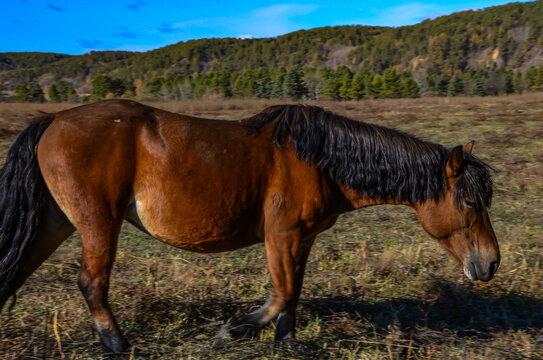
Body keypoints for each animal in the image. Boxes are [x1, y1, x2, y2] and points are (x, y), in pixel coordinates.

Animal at [0, 100, 502, 352]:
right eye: (470, 201)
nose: (492, 264)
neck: (321, 160)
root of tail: (54, 119)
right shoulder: (280, 235)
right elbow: (282, 292)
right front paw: (235, 330)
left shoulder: (302, 240)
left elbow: (293, 294)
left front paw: (287, 340)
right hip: (97, 223)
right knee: (91, 283)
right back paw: (118, 344)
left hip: (55, 223)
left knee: (15, 271)